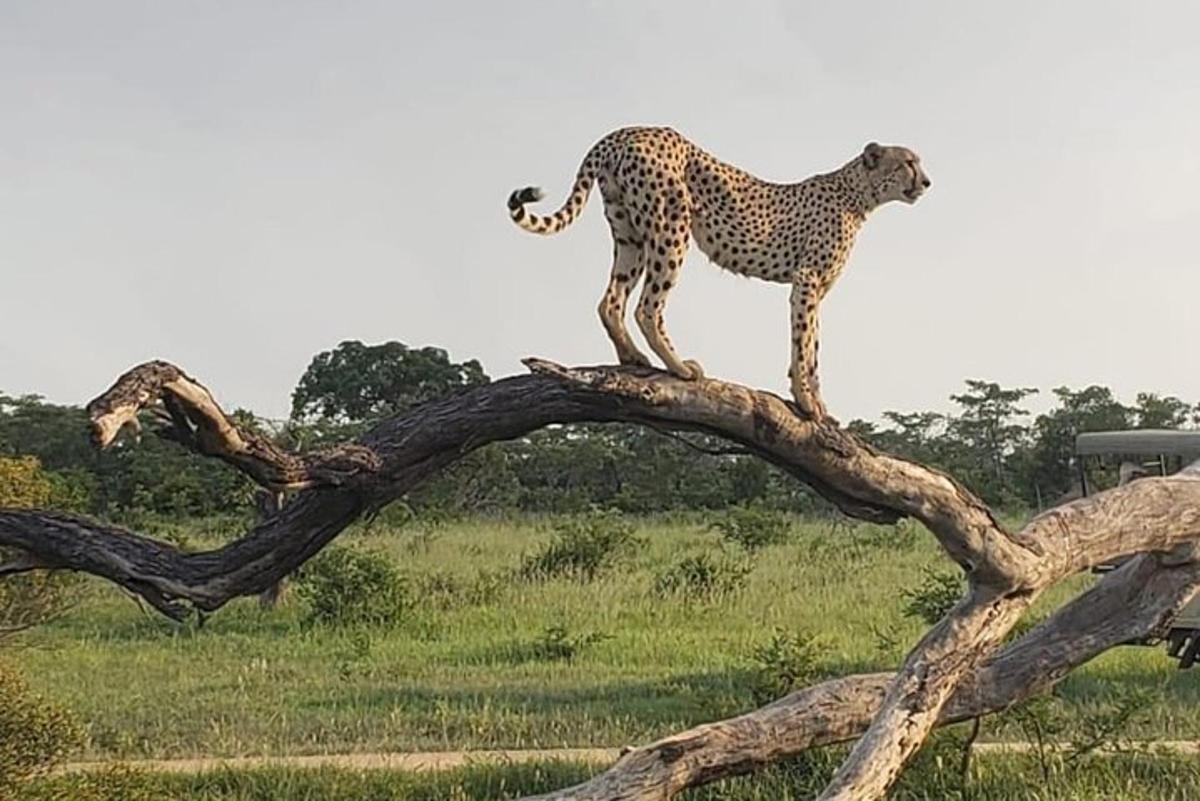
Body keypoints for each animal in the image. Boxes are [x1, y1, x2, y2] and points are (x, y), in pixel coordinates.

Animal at [504, 126, 926, 419]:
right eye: (908, 162)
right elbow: (804, 344)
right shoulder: (807, 281)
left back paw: (633, 357)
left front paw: (814, 402)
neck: (858, 194)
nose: (927, 181)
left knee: (610, 300)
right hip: (671, 229)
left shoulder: (816, 289)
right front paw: (808, 403)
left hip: (629, 234)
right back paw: (680, 367)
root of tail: (625, 131)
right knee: (647, 307)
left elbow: (812, 347)